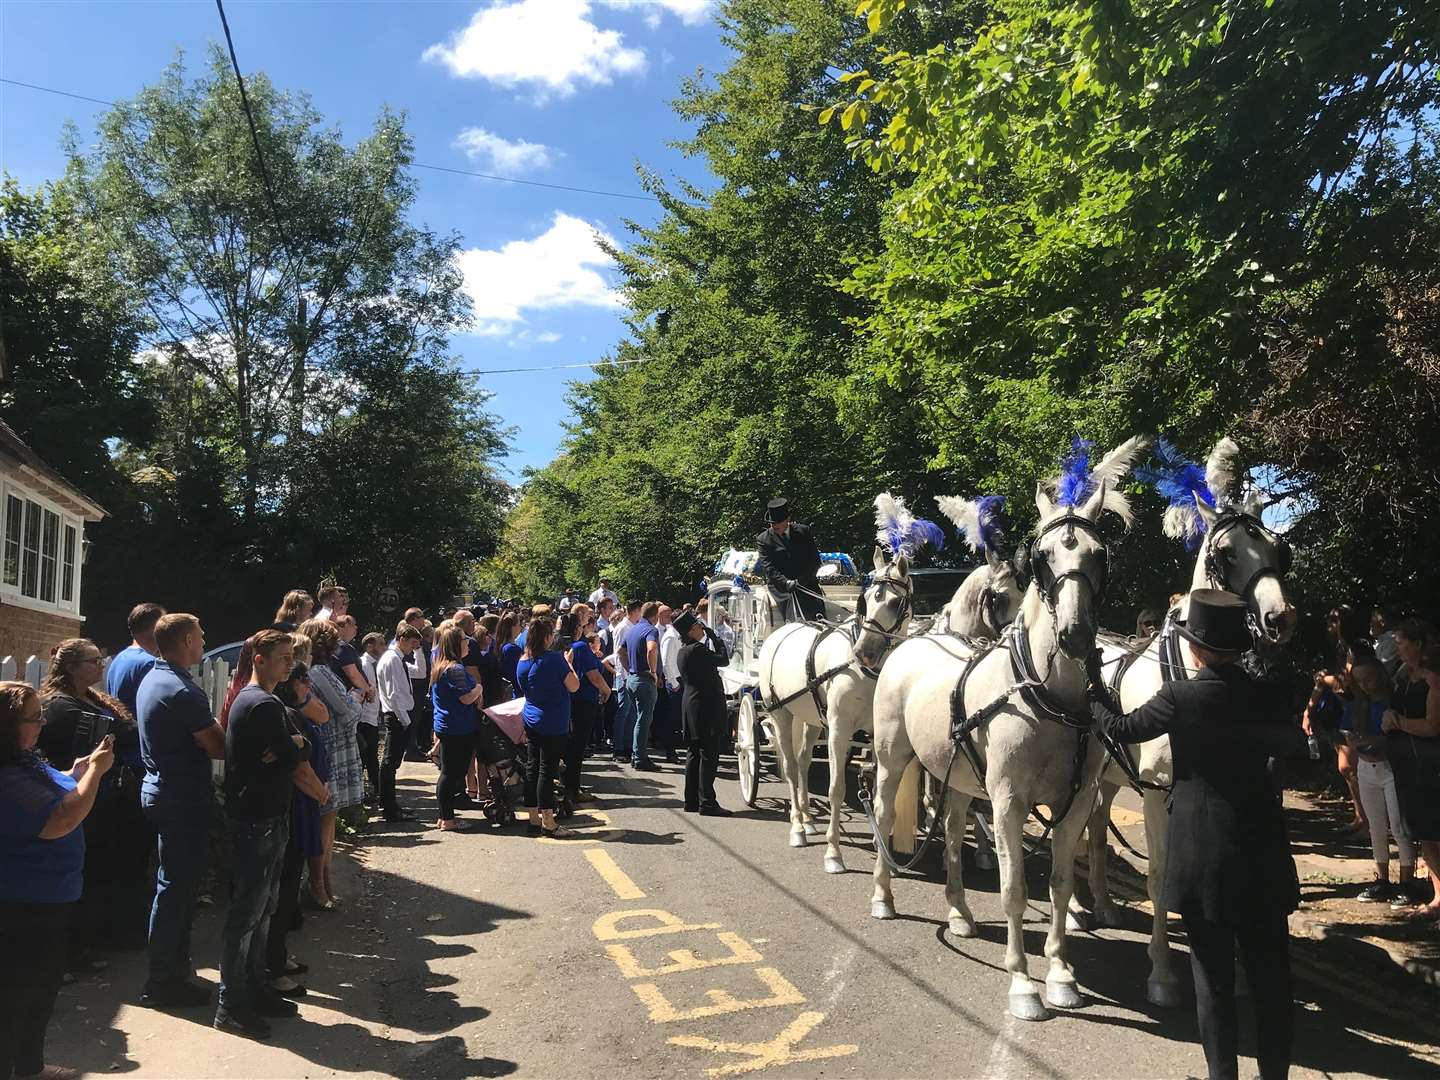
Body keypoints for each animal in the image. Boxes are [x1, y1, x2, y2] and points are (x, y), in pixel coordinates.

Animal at [869, 440, 1140, 1025]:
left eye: (1098, 555)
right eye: (1044, 557)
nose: (1076, 634)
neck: (1048, 698)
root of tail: (910, 641)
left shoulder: (1074, 802)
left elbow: (1059, 885)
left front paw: (1060, 975)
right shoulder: (1009, 801)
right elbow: (1014, 889)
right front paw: (1022, 984)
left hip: (956, 775)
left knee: (950, 829)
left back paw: (959, 911)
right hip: (891, 758)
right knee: (881, 814)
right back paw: (882, 897)